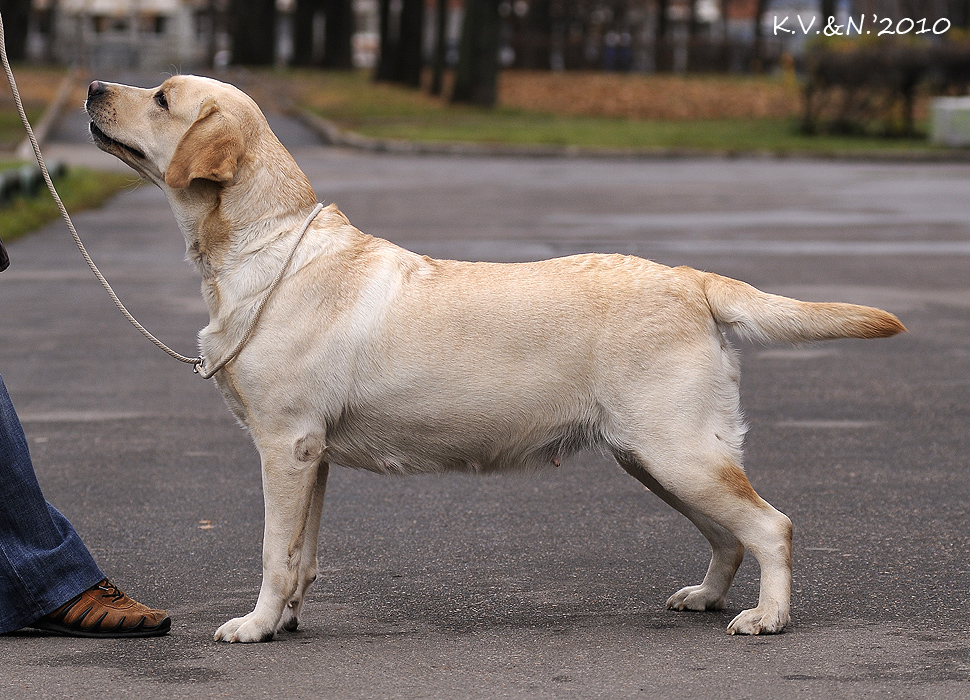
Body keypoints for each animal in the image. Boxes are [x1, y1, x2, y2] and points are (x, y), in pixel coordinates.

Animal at [85, 75, 908, 640]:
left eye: (161, 97)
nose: (94, 87)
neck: (267, 245)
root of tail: (691, 279)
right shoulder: (311, 456)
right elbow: (303, 554)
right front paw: (284, 620)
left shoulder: (283, 447)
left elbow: (272, 551)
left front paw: (254, 626)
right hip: (654, 458)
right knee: (728, 535)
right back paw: (706, 598)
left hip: (676, 451)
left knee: (772, 526)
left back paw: (766, 618)